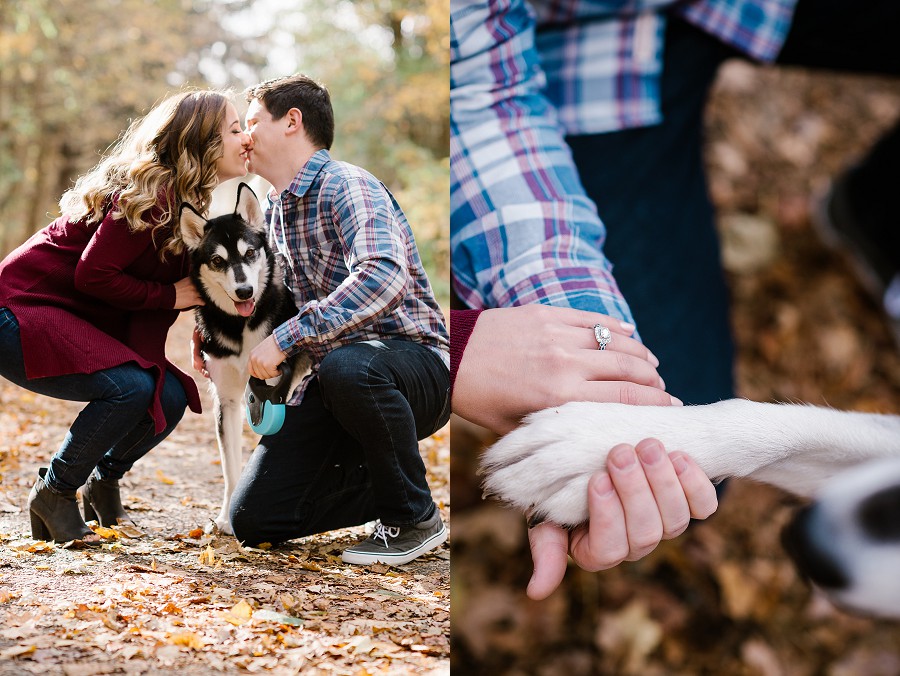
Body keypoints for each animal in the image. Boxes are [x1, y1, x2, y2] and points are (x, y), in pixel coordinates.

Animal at [179, 182, 312, 536]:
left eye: (250, 253)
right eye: (216, 260)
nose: (244, 291)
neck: (242, 327)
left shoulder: (275, 389)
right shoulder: (226, 401)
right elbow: (230, 468)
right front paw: (227, 517)